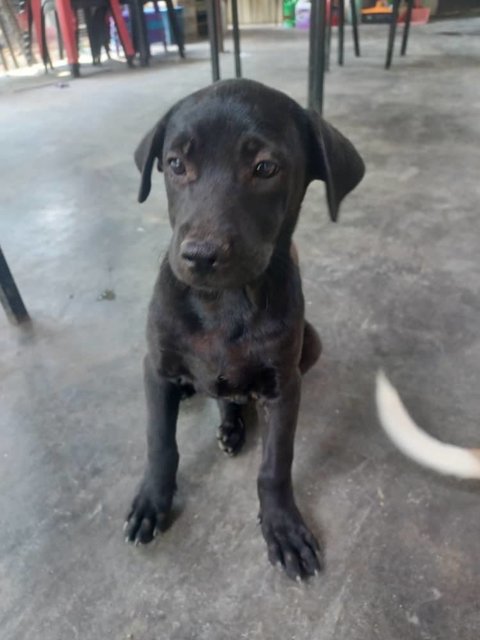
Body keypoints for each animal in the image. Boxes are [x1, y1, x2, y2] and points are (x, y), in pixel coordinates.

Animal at [124, 80, 364, 580]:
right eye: (175, 164)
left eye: (265, 168)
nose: (200, 255)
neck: (224, 303)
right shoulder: (155, 368)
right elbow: (160, 442)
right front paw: (153, 501)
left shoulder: (284, 385)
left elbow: (276, 463)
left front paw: (282, 526)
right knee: (216, 394)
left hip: (311, 343)